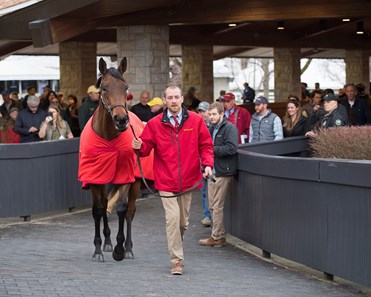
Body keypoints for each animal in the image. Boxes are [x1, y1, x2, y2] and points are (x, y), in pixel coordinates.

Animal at [78, 57, 154, 262]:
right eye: (104, 88)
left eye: (125, 87)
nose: (121, 120)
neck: (108, 138)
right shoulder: (95, 178)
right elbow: (98, 209)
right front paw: (98, 249)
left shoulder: (125, 176)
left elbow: (122, 208)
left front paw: (120, 249)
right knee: (105, 205)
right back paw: (107, 242)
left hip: (136, 182)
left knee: (129, 211)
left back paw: (127, 247)